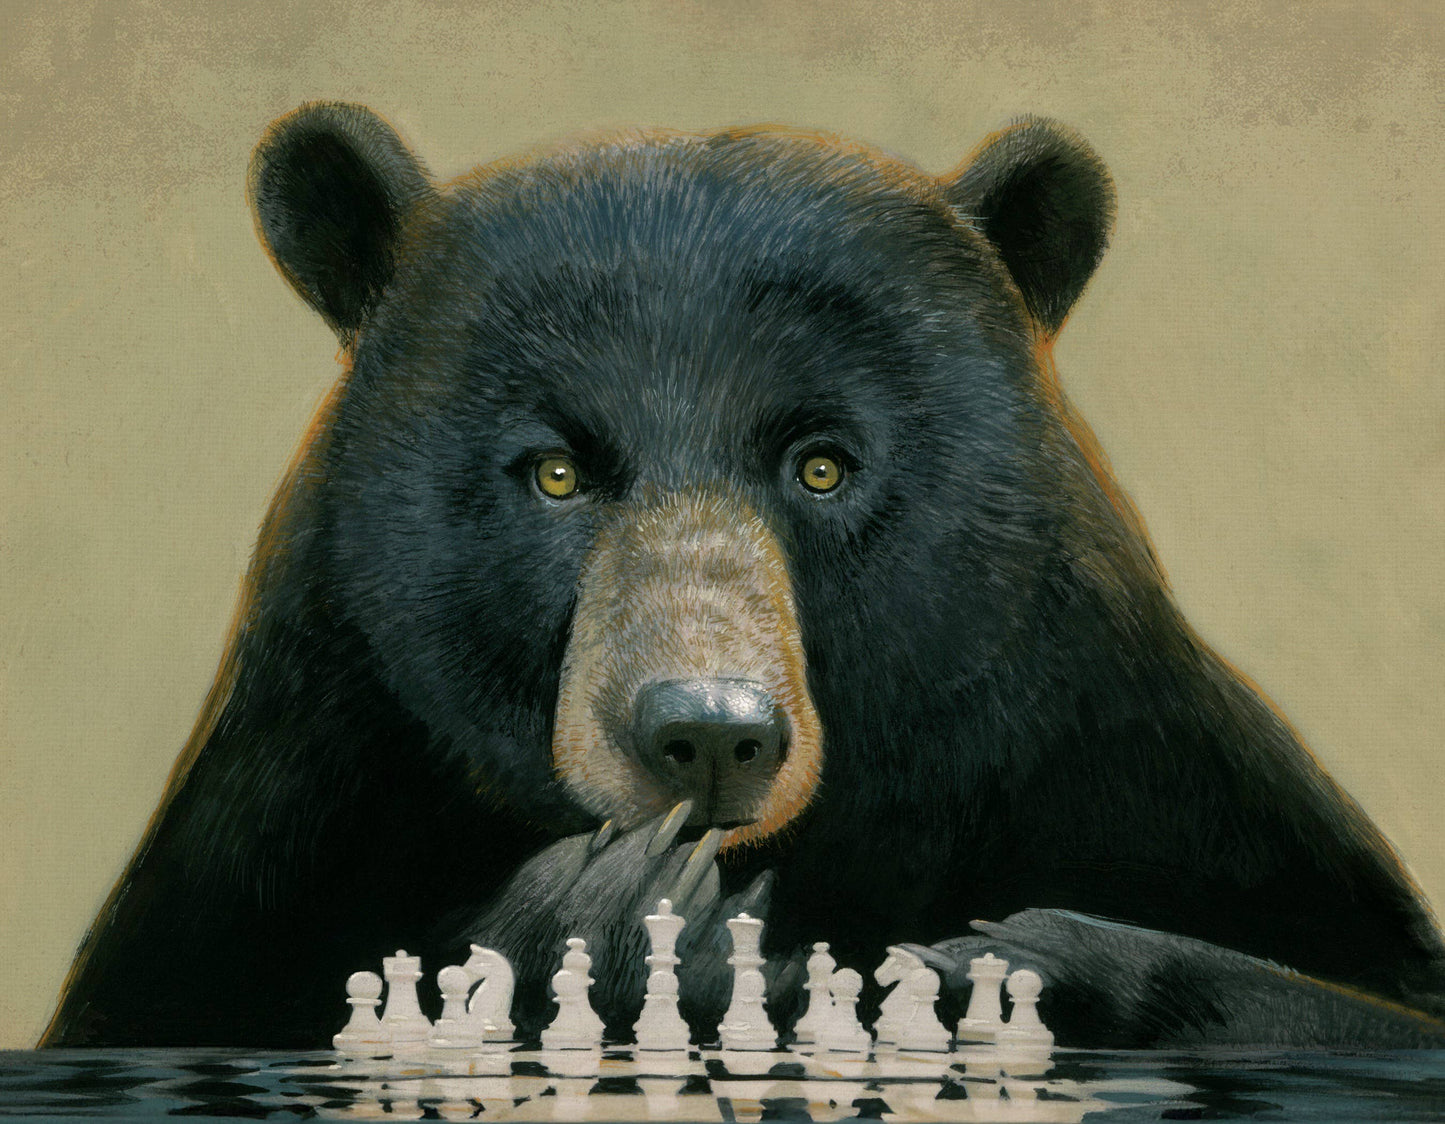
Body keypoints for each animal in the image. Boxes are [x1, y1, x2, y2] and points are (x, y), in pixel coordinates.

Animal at [42, 103, 1445, 1050]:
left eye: (820, 465)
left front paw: (1002, 954)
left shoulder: (1139, 769)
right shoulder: (293, 814)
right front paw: (630, 912)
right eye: (557, 471)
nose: (706, 734)